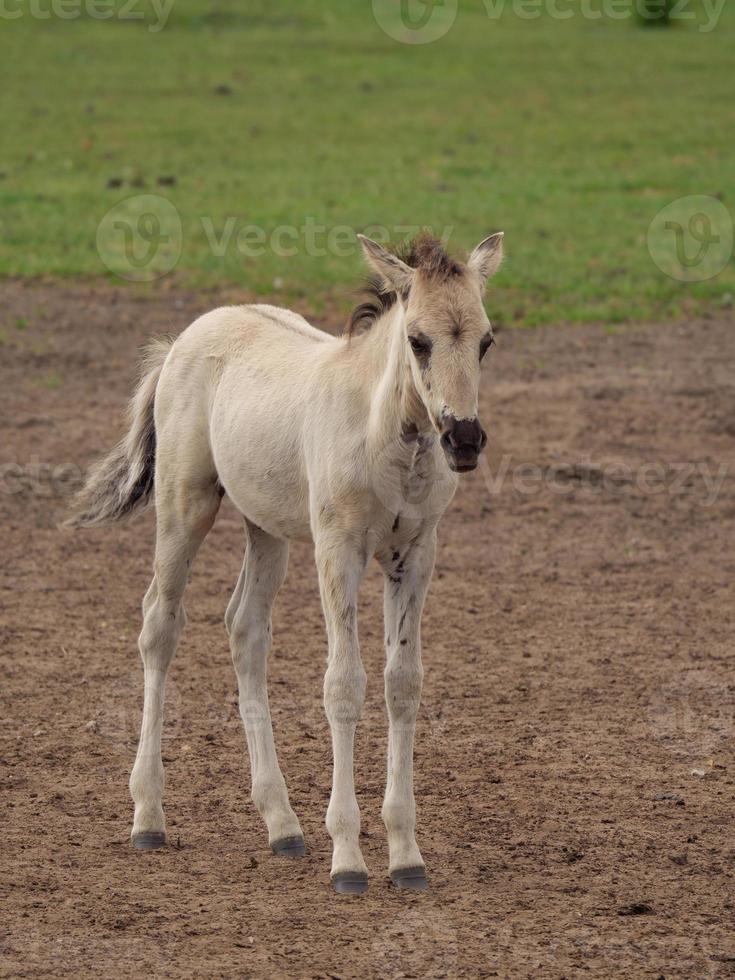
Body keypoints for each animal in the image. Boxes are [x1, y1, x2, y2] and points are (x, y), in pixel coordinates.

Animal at [69, 232, 506, 896]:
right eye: (418, 340)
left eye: (485, 341)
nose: (464, 439)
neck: (384, 435)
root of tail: (185, 339)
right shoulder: (337, 550)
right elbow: (344, 685)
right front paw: (348, 859)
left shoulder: (415, 555)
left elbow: (402, 684)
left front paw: (406, 855)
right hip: (184, 505)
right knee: (159, 625)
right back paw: (148, 816)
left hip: (266, 528)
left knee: (245, 629)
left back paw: (282, 824)